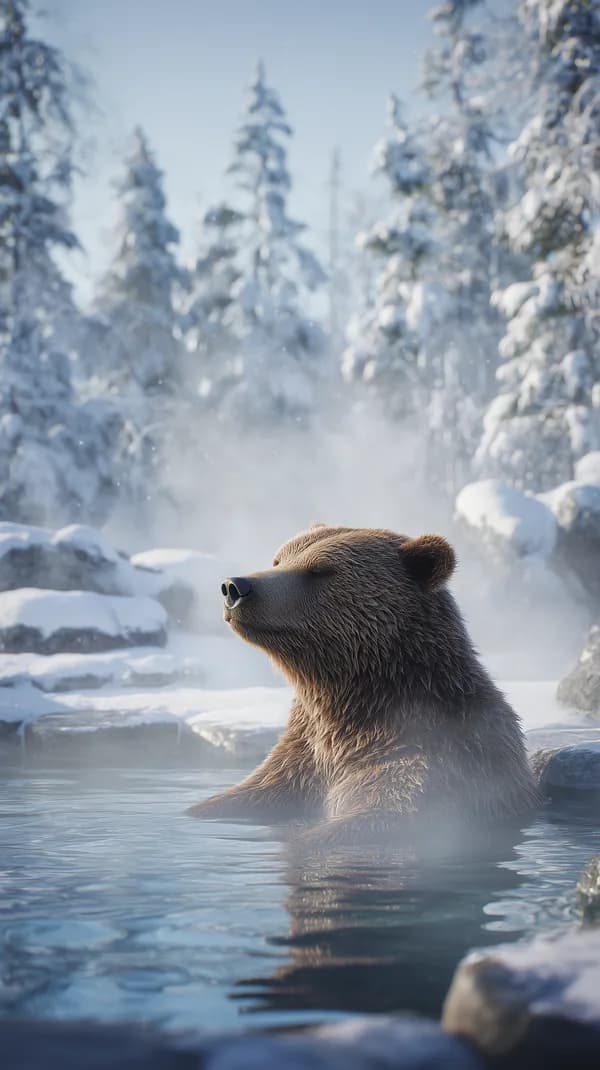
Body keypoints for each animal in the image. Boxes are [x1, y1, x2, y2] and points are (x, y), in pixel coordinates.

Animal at [187, 524, 540, 845]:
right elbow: (229, 800)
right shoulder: (296, 765)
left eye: (319, 569)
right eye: (279, 558)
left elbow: (376, 817)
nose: (235, 586)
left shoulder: (429, 762)